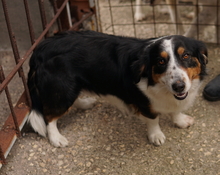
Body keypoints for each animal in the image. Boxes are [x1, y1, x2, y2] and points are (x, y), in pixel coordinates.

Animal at [27, 30, 208, 147]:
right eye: (160, 61)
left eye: (186, 55)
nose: (179, 86)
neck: (161, 86)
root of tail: (39, 50)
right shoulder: (143, 101)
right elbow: (153, 119)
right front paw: (156, 135)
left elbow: (175, 110)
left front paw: (180, 120)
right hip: (62, 90)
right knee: (49, 116)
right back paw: (56, 138)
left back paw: (85, 103)